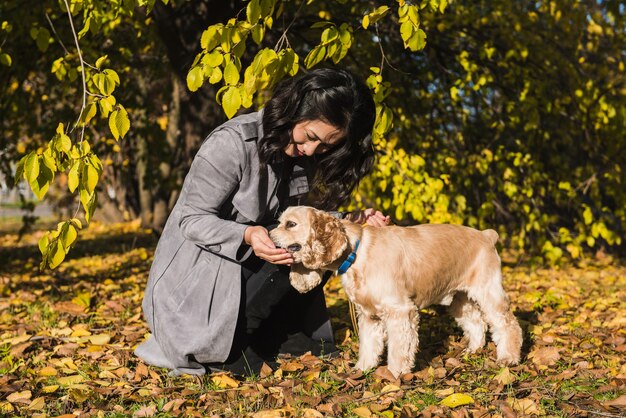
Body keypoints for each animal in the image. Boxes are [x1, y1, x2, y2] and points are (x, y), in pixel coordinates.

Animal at [268, 207, 520, 378]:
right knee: (476, 322)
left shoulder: (400, 311)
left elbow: (399, 348)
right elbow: (369, 345)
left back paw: (508, 358)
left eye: (290, 224)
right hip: (459, 298)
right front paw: (362, 369)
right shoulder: (369, 315)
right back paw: (472, 350)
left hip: (488, 291)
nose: (268, 236)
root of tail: (486, 235)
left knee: (508, 324)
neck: (357, 253)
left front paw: (394, 373)